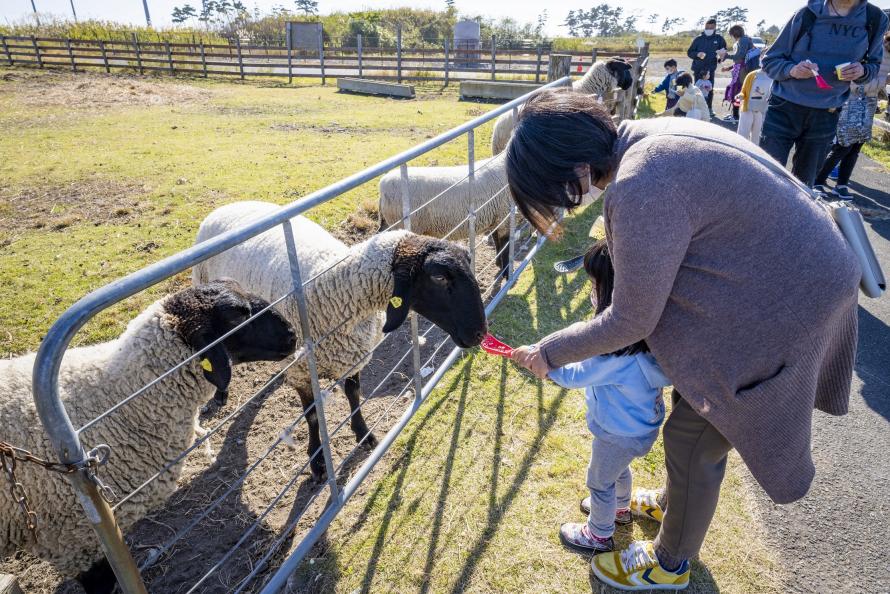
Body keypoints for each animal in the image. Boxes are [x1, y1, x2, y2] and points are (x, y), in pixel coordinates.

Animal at [192, 201, 490, 478]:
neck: (338, 290)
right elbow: (313, 416)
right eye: (439, 277)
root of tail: (228, 206)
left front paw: (363, 434)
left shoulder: (353, 355)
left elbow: (354, 395)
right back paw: (220, 395)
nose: (479, 333)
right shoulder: (303, 371)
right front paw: (318, 461)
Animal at [376, 151, 512, 274]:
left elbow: (497, 242)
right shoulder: (505, 216)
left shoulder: (496, 218)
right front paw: (506, 272)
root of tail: (382, 186)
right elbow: (505, 245)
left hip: (389, 223)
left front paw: (498, 264)